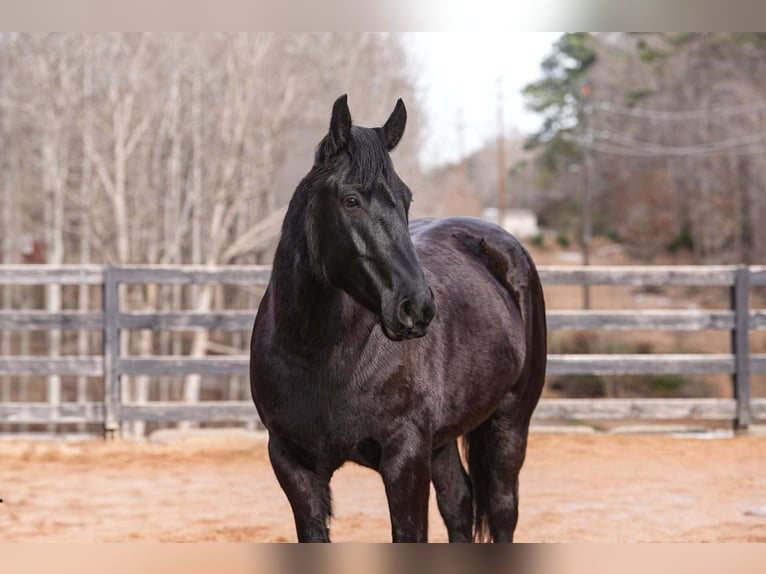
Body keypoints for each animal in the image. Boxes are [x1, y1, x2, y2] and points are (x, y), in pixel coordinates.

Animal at [250, 95, 547, 543]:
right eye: (351, 200)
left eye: (406, 199)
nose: (417, 307)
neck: (319, 356)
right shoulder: (292, 463)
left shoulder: (405, 458)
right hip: (442, 441)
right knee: (458, 505)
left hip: (509, 423)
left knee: (501, 510)